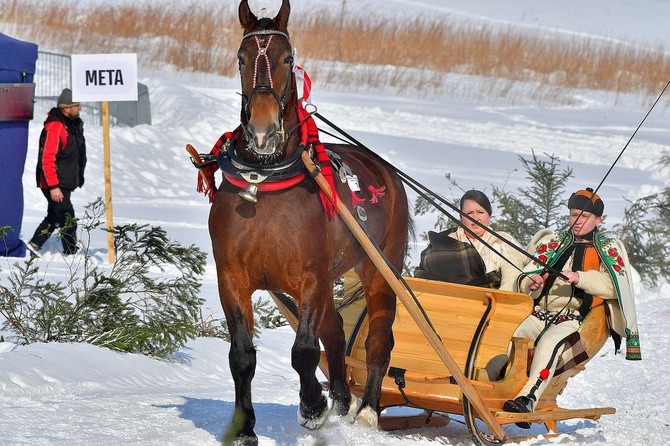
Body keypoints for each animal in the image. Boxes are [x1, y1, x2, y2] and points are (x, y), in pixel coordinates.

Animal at [209, 1, 410, 444]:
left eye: (288, 58)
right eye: (241, 59)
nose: (262, 130)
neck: (264, 179)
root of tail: (384, 171)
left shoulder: (312, 277)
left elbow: (303, 351)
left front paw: (313, 406)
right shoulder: (232, 276)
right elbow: (241, 355)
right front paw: (245, 427)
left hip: (380, 268)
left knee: (377, 339)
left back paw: (367, 411)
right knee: (335, 333)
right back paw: (342, 398)